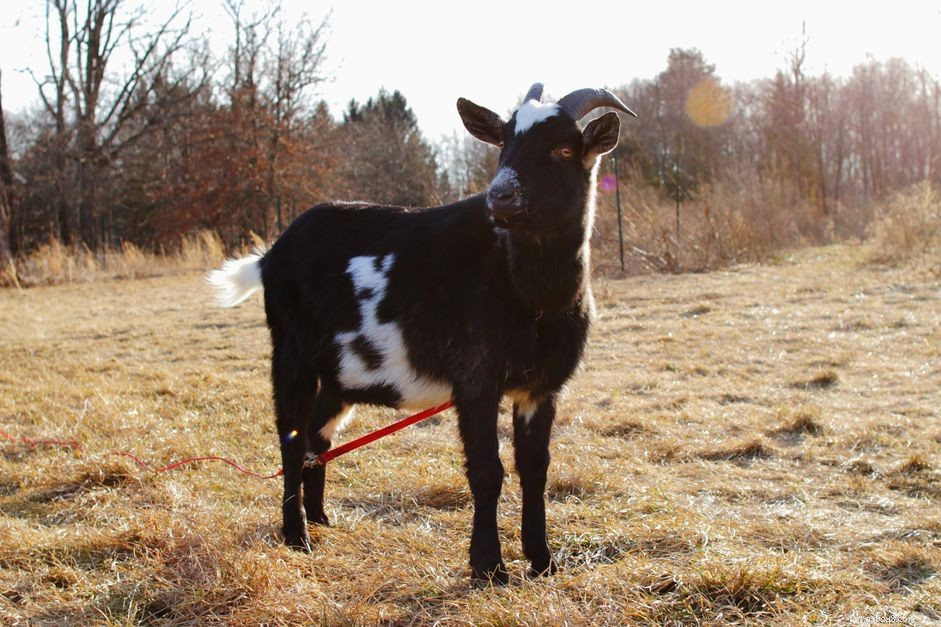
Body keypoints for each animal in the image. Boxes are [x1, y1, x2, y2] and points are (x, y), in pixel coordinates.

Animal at [208, 83, 635, 584]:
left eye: (563, 149)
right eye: (503, 145)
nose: (500, 198)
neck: (532, 294)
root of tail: (270, 256)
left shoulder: (540, 388)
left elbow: (535, 469)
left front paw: (542, 561)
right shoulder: (476, 381)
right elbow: (487, 471)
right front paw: (489, 568)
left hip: (338, 376)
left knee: (317, 437)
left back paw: (320, 518)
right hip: (290, 353)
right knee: (291, 439)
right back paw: (298, 537)